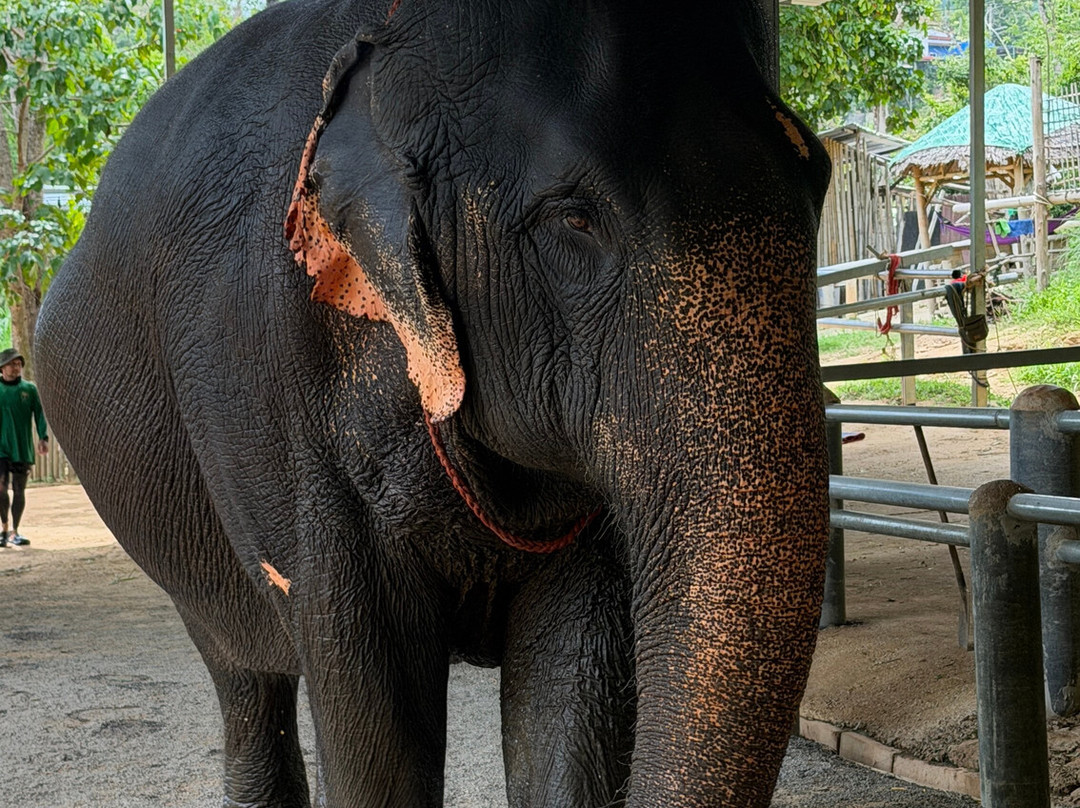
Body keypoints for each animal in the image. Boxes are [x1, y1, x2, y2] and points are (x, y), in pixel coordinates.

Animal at [36, 0, 832, 805]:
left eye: (820, 179)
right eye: (575, 218)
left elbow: (572, 694)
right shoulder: (258, 385)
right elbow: (376, 737)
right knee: (243, 677)